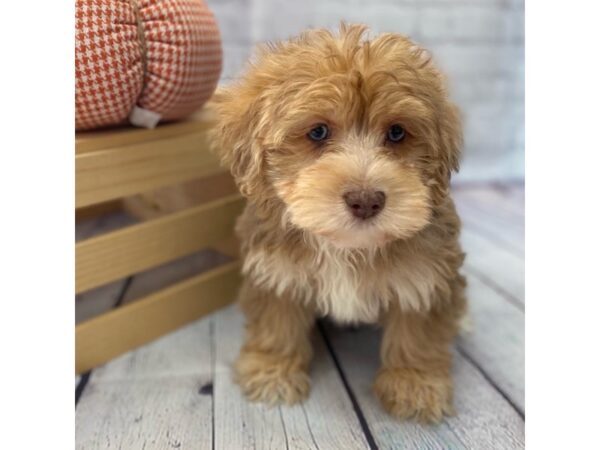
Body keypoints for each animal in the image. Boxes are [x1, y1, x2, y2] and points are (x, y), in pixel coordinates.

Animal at [211, 23, 468, 426]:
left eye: (397, 133)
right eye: (318, 132)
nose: (366, 200)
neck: (347, 246)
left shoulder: (424, 276)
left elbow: (418, 334)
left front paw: (415, 385)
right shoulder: (276, 272)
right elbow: (275, 322)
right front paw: (272, 372)